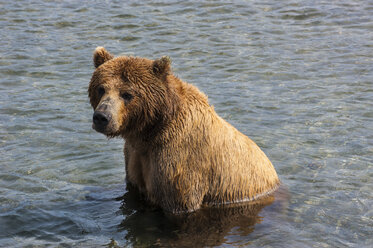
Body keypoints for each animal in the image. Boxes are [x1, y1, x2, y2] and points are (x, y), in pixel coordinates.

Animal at [88, 47, 280, 214]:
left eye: (127, 94)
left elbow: (180, 204)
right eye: (101, 88)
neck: (150, 131)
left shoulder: (179, 160)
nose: (101, 117)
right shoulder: (133, 155)